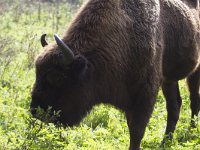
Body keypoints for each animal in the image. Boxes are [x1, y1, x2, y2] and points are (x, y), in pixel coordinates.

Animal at [30, 0, 200, 150]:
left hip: (194, 73)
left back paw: (191, 132)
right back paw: (165, 142)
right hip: (169, 81)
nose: (35, 111)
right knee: (175, 106)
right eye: (37, 72)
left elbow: (137, 131)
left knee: (193, 100)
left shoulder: (145, 95)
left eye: (56, 77)